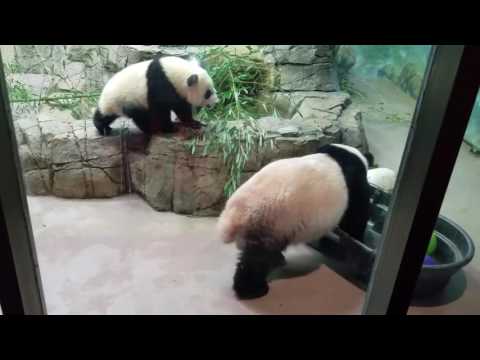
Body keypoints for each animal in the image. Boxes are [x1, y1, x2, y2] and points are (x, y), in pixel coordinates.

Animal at [217, 143, 372, 298]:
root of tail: (236, 213)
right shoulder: (355, 181)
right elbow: (356, 214)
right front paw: (356, 239)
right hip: (270, 221)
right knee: (258, 258)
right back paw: (253, 289)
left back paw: (276, 261)